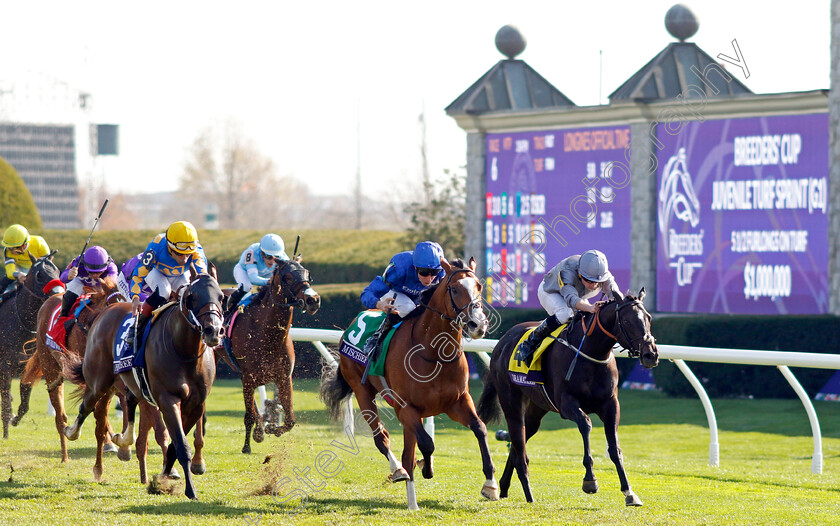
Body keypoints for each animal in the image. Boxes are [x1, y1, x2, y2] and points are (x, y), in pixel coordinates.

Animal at [0, 254, 63, 440]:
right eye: (39, 274)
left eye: (57, 271)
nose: (58, 293)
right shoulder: (5, 367)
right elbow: (6, 403)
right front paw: (5, 433)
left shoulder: (27, 368)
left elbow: (24, 405)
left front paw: (14, 420)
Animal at [63, 274, 223, 502]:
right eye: (192, 297)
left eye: (221, 296)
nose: (213, 330)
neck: (185, 351)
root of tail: (106, 311)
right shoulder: (167, 400)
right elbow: (181, 445)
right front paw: (190, 490)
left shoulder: (195, 405)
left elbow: (174, 445)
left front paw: (162, 479)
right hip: (99, 381)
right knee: (87, 406)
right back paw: (72, 432)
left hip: (130, 384)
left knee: (129, 401)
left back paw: (122, 439)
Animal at [221, 258, 320, 456]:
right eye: (287, 277)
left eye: (307, 273)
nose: (313, 299)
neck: (267, 334)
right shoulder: (248, 378)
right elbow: (249, 415)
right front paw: (247, 446)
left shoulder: (284, 378)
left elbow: (290, 419)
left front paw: (269, 429)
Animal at [318, 258, 496, 512]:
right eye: (454, 289)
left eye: (479, 286)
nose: (477, 324)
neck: (434, 353)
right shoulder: (407, 407)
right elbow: (426, 444)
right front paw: (426, 469)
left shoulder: (458, 402)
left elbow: (480, 428)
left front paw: (490, 485)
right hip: (362, 391)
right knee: (382, 438)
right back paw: (399, 472)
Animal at [476, 288, 660, 508]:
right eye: (627, 321)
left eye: (648, 318)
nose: (651, 355)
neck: (591, 352)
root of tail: (502, 343)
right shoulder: (566, 404)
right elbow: (586, 424)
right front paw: (590, 480)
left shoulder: (611, 405)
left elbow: (615, 449)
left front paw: (629, 492)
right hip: (510, 401)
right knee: (519, 446)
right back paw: (526, 495)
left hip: (536, 410)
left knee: (517, 444)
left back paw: (503, 487)